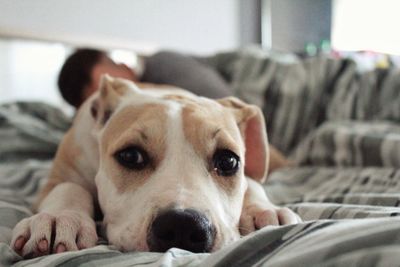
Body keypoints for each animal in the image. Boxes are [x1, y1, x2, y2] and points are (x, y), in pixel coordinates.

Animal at [10, 76, 300, 260]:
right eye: (130, 156)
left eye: (228, 161)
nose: (183, 226)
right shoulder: (57, 178)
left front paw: (265, 211)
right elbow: (69, 187)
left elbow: (253, 182)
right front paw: (59, 218)